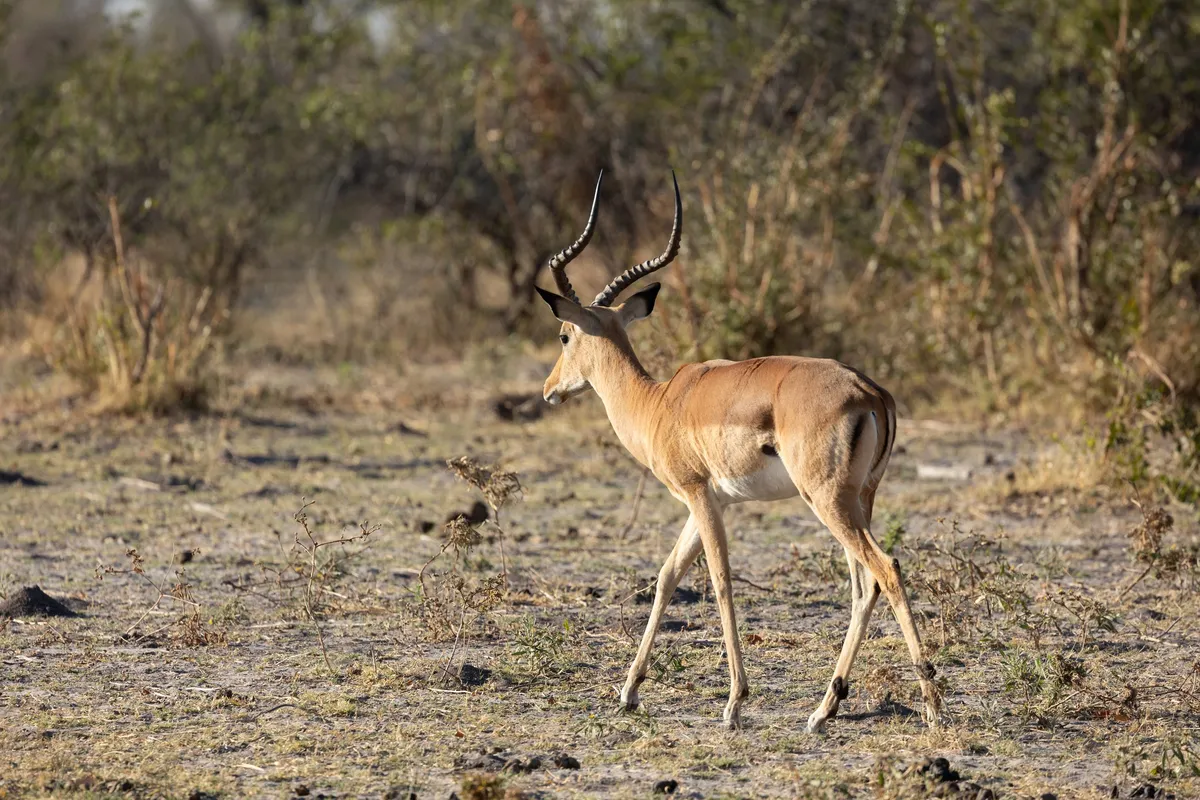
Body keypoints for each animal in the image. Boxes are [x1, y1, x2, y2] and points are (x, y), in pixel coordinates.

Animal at [533, 170, 941, 732]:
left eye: (563, 334)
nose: (549, 389)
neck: (660, 403)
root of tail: (869, 390)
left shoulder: (699, 495)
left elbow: (721, 581)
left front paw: (733, 702)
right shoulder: (709, 500)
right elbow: (666, 577)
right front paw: (629, 692)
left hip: (827, 500)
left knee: (886, 570)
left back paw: (931, 707)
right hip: (859, 500)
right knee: (864, 587)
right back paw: (824, 709)